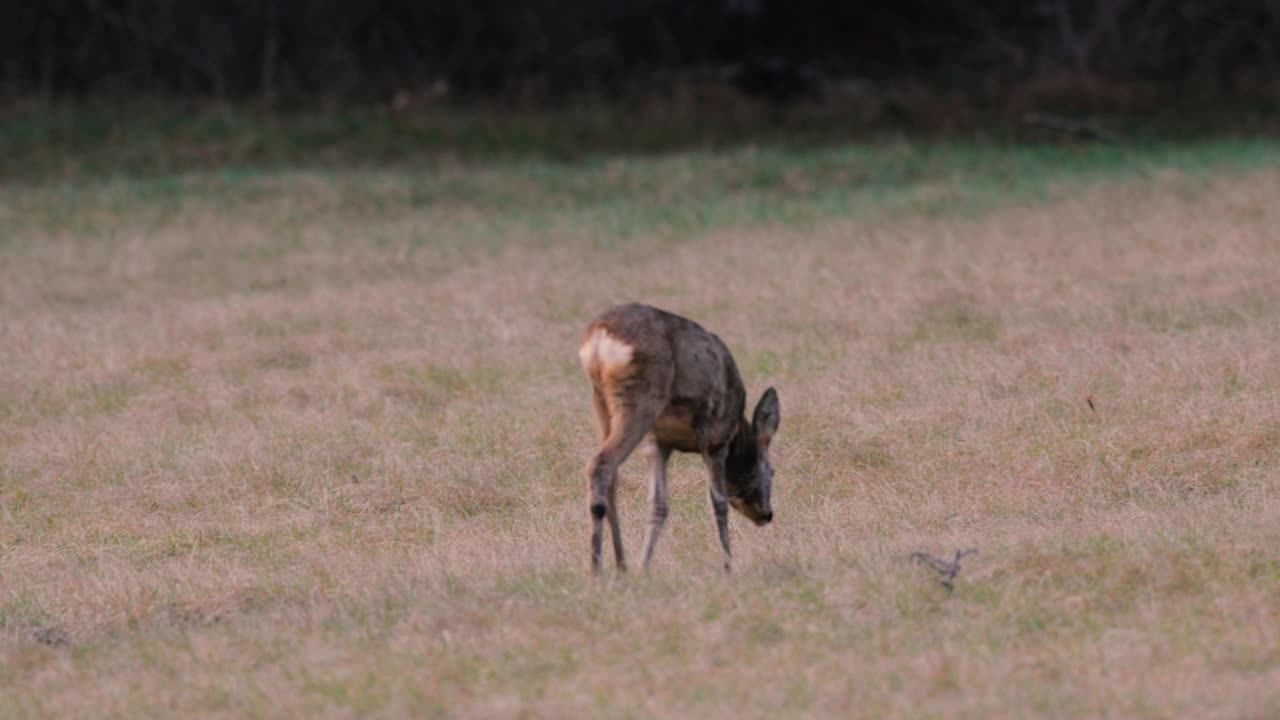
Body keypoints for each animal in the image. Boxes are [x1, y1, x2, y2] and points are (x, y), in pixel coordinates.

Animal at [581, 302, 778, 571]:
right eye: (772, 471)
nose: (767, 514)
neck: (737, 427)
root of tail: (600, 337)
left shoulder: (659, 442)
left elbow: (659, 505)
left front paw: (644, 567)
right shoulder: (715, 440)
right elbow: (718, 503)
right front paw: (728, 567)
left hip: (601, 402)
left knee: (611, 474)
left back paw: (622, 565)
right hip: (639, 399)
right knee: (601, 464)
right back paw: (597, 568)